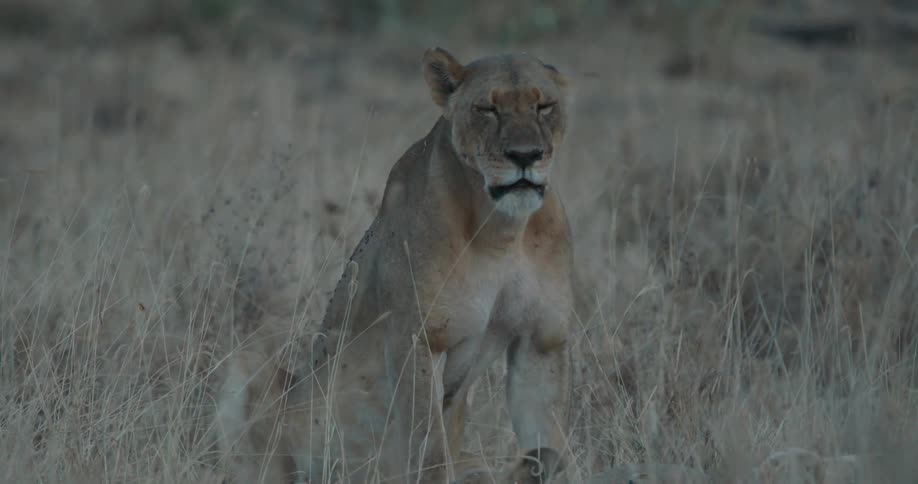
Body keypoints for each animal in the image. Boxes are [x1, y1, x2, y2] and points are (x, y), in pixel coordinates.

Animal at [214, 47, 575, 484]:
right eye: (487, 109)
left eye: (544, 106)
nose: (525, 156)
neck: (502, 231)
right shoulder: (419, 337)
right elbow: (429, 446)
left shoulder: (541, 341)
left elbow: (549, 441)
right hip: (249, 365)